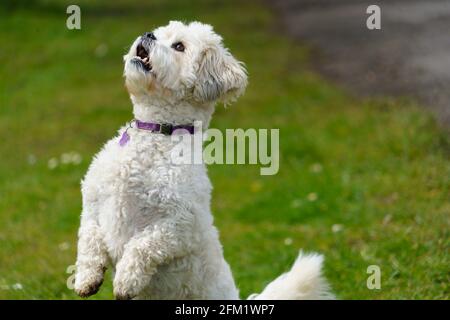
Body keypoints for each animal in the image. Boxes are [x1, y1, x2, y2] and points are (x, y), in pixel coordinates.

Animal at [74, 21, 334, 300]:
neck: (156, 134)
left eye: (179, 46)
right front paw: (86, 278)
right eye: (159, 32)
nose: (148, 35)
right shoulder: (92, 206)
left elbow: (142, 244)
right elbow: (88, 239)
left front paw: (126, 280)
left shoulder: (181, 226)